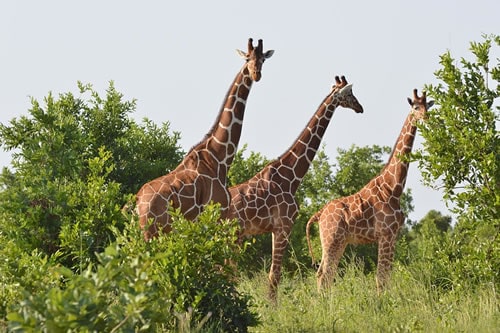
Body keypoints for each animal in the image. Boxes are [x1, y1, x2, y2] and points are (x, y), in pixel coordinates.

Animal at [137, 39, 274, 239]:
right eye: (247, 58)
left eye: (263, 59)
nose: (256, 74)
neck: (218, 157)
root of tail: (137, 202)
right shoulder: (216, 214)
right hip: (154, 231)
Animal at [228, 76, 364, 300]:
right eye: (350, 93)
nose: (360, 107)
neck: (291, 176)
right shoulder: (284, 225)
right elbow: (275, 275)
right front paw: (273, 308)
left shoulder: (275, 229)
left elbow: (273, 275)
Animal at [304, 87, 434, 290]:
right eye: (415, 107)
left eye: (426, 106)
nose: (426, 117)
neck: (393, 188)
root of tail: (319, 214)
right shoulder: (386, 234)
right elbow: (381, 278)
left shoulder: (393, 235)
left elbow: (386, 277)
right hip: (331, 239)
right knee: (324, 274)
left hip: (338, 241)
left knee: (324, 274)